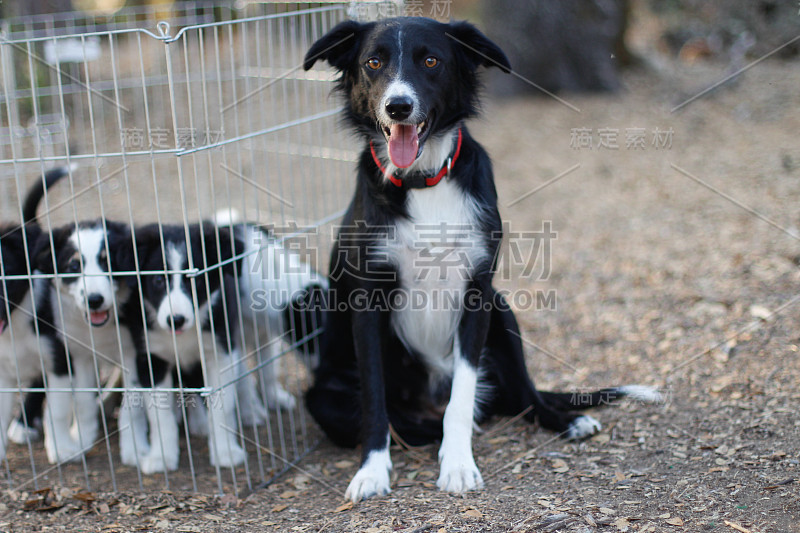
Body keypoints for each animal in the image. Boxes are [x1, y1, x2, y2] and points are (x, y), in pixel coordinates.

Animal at [118, 222, 247, 472]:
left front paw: (225, 451)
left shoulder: (221, 351)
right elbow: (160, 415)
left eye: (195, 280)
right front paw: (161, 457)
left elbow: (223, 407)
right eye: (158, 281)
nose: (175, 320)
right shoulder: (151, 358)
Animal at [214, 210, 326, 410]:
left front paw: (275, 398)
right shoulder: (233, 338)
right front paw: (251, 409)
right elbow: (242, 378)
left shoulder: (268, 335)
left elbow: (268, 369)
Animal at [304, 15, 660, 498]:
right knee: (408, 421)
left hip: (503, 311)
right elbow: (375, 401)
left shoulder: (477, 293)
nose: (398, 106)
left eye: (431, 61)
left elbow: (462, 394)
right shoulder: (368, 304)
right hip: (322, 395)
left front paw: (457, 464)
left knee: (524, 398)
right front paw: (372, 472)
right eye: (373, 62)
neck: (423, 182)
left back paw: (566, 421)